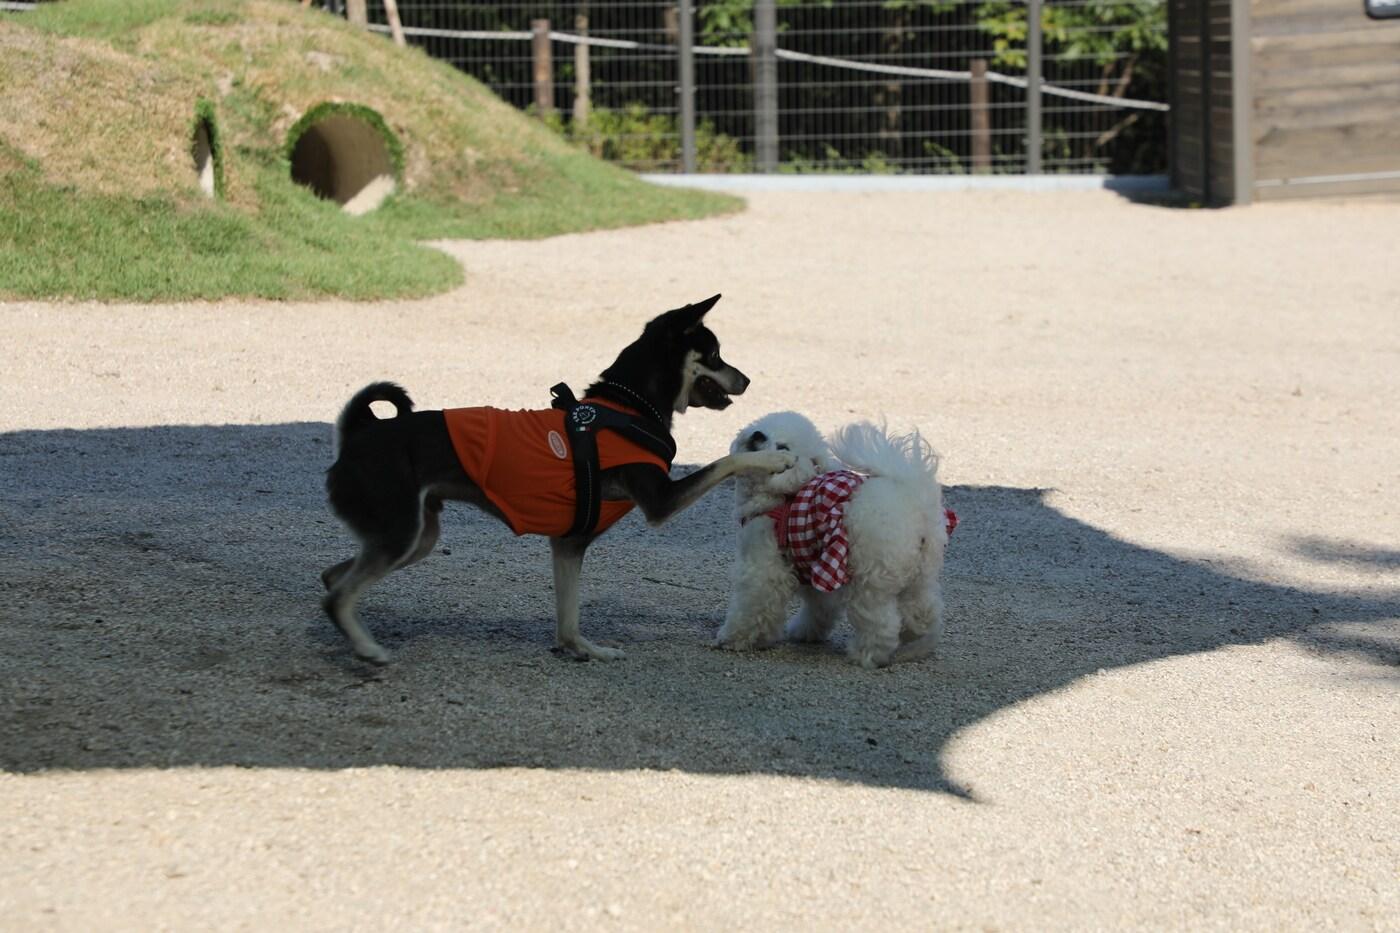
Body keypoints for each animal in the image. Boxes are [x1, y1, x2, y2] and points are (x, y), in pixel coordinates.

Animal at [320, 295, 795, 661]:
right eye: (714, 355)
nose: (747, 379)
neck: (629, 408)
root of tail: (356, 435)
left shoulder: (569, 543)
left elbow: (568, 619)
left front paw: (584, 649)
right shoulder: (661, 500)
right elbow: (725, 461)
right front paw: (773, 459)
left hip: (416, 535)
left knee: (332, 578)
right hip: (401, 531)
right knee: (338, 593)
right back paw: (368, 649)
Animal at [711, 411, 952, 664]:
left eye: (783, 447)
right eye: (763, 427)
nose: (757, 435)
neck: (779, 497)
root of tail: (914, 503)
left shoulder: (764, 567)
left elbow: (752, 604)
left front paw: (733, 638)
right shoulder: (814, 561)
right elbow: (820, 606)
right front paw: (806, 631)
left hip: (868, 580)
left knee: (881, 623)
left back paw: (866, 655)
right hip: (920, 576)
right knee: (923, 611)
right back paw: (915, 646)